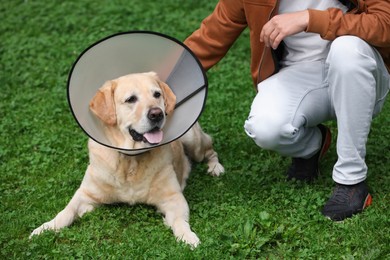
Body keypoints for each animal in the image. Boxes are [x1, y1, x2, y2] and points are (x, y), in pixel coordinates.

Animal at [29, 71, 224, 248]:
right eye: (131, 99)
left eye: (157, 94)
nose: (157, 114)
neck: (131, 160)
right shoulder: (85, 194)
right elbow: (66, 212)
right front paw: (45, 228)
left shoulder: (173, 197)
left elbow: (179, 221)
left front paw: (187, 236)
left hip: (193, 141)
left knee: (210, 149)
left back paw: (216, 167)